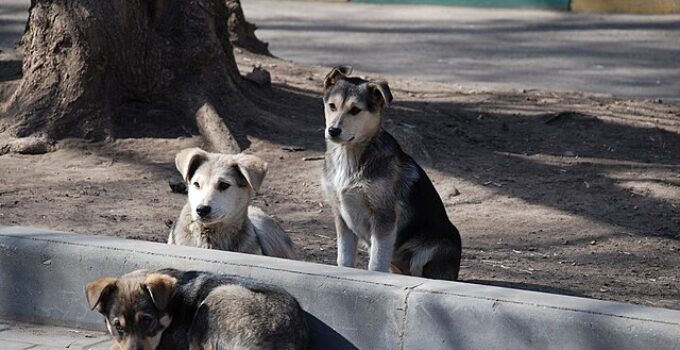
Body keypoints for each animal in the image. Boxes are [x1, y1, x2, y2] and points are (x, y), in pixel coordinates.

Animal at [320, 65, 462, 280]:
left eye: (355, 110)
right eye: (332, 106)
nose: (333, 130)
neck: (350, 156)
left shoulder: (383, 217)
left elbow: (376, 263)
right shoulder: (341, 216)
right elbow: (343, 259)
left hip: (431, 248)